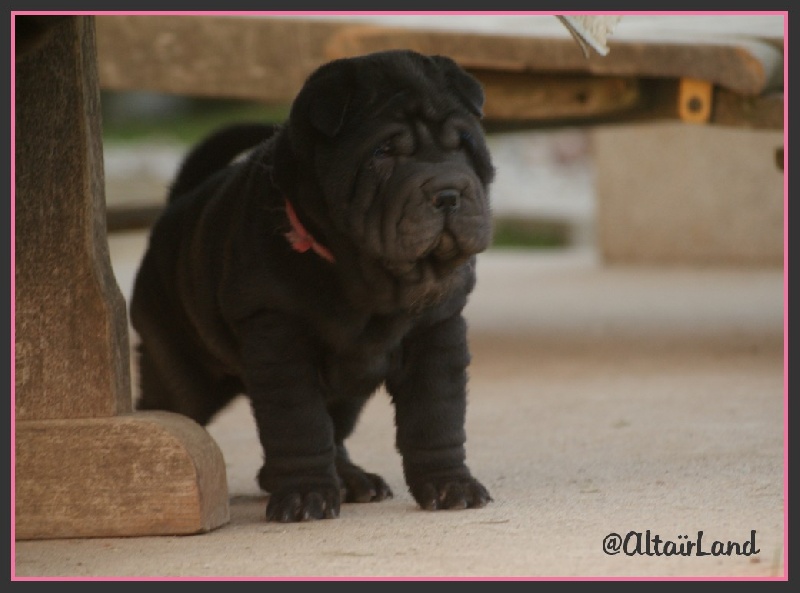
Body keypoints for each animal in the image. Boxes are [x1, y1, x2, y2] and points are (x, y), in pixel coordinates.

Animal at [130, 49, 495, 522]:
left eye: (463, 146)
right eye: (383, 152)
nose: (449, 192)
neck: (369, 280)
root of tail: (175, 207)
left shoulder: (438, 331)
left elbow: (436, 417)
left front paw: (452, 485)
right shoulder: (280, 338)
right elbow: (299, 424)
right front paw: (305, 496)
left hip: (348, 392)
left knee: (336, 430)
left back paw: (353, 480)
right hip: (179, 370)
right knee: (173, 406)